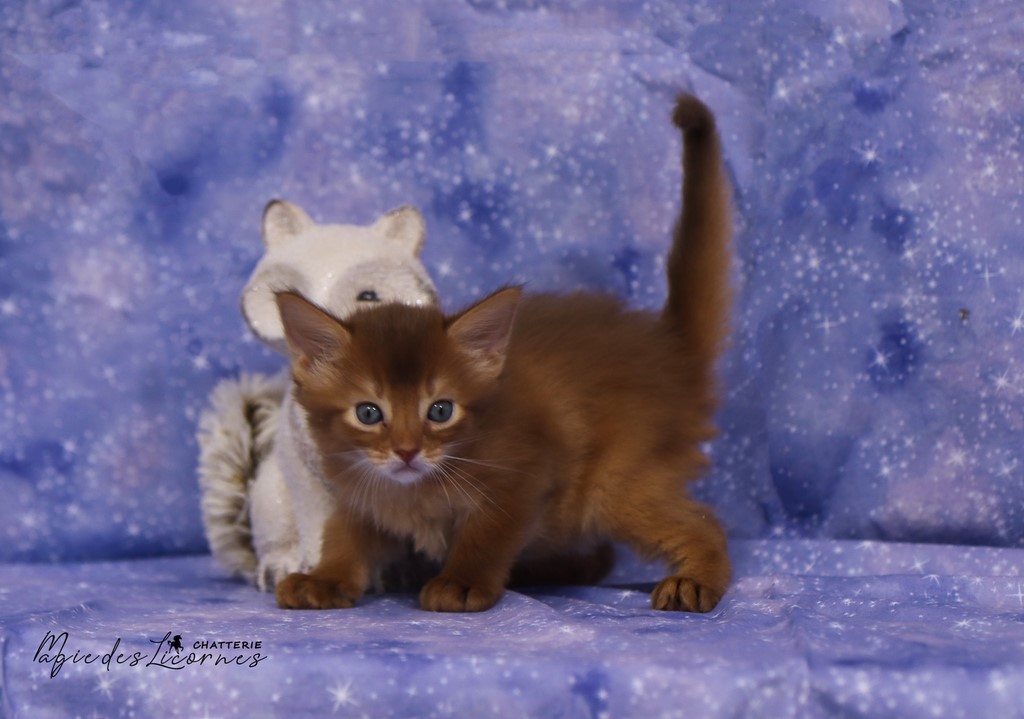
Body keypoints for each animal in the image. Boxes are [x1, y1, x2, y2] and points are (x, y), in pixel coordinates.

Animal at [273, 93, 733, 613]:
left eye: (441, 410)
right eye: (369, 412)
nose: (408, 451)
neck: (415, 488)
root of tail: (669, 344)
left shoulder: (522, 479)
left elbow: (485, 537)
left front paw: (462, 581)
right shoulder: (362, 494)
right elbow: (344, 538)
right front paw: (324, 579)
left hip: (615, 483)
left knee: (702, 525)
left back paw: (694, 579)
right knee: (600, 556)